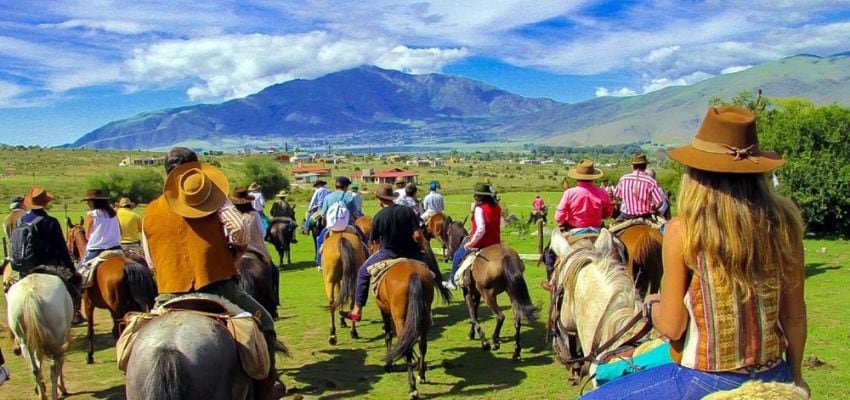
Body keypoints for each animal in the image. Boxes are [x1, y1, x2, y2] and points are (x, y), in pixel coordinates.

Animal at [65, 219, 157, 366]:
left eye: (69, 237)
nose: (69, 251)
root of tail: (128, 265)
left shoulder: (88, 304)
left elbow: (90, 330)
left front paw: (89, 356)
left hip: (117, 308)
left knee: (119, 329)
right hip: (133, 305)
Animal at [372, 258, 450, 398]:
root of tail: (413, 274)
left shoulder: (384, 310)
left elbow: (388, 335)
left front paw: (388, 364)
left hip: (400, 318)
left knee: (407, 347)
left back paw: (412, 388)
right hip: (424, 316)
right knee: (422, 345)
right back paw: (421, 375)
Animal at [444, 220, 536, 360]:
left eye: (448, 234)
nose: (447, 255)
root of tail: (507, 256)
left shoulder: (468, 292)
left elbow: (472, 314)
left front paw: (483, 342)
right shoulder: (476, 293)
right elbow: (475, 311)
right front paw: (472, 334)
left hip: (488, 295)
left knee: (500, 316)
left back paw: (494, 341)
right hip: (512, 294)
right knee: (517, 320)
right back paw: (516, 351)